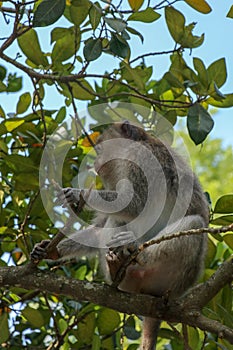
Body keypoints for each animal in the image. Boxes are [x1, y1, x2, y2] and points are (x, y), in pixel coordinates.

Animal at [31, 121, 209, 350]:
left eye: (99, 149)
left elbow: (134, 203)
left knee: (195, 223)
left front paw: (77, 194)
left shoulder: (142, 159)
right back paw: (117, 268)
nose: (96, 162)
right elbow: (101, 225)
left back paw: (133, 252)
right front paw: (50, 250)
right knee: (115, 222)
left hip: (176, 277)